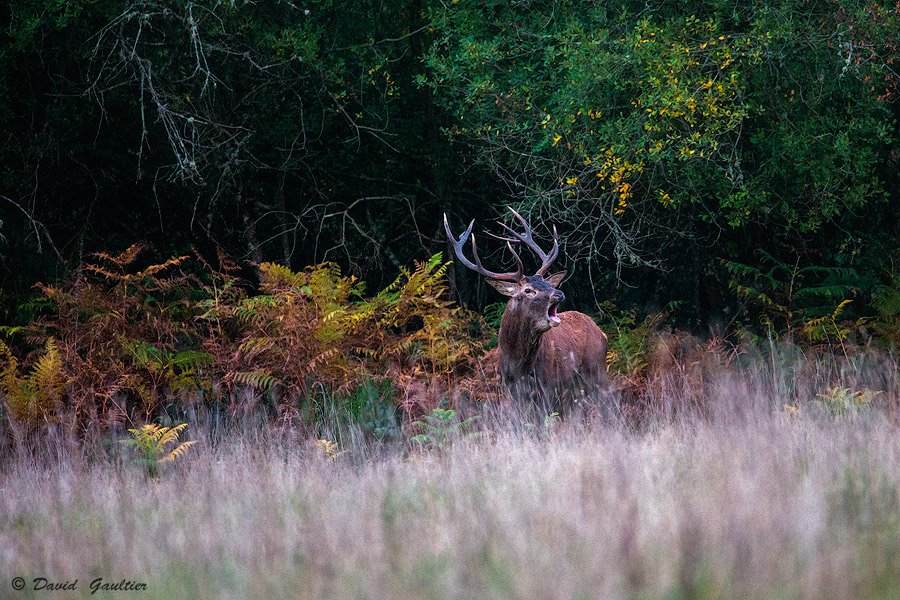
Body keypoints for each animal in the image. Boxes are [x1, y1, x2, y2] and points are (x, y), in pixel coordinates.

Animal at [444, 208, 610, 413]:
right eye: (528, 290)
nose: (559, 293)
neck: (519, 365)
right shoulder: (510, 387)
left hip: (596, 369)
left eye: (548, 283)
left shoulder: (548, 384)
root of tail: (602, 333)